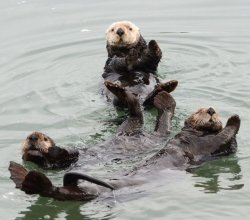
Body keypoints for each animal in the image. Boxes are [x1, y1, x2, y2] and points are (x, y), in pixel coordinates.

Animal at [8, 82, 240, 201]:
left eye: (45, 137)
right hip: (130, 131)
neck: (199, 134)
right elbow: (225, 135)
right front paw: (235, 118)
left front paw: (234, 118)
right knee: (139, 111)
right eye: (199, 111)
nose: (211, 110)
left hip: (130, 131)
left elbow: (224, 137)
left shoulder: (212, 147)